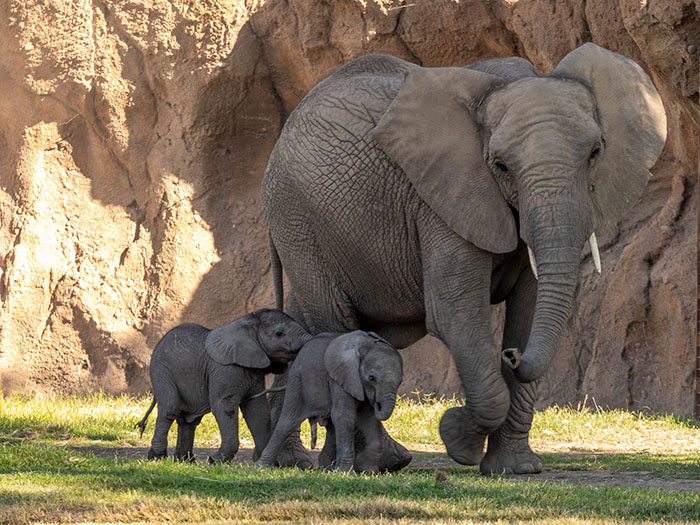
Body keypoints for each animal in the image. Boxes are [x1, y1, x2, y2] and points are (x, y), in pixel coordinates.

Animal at [135, 310, 310, 460]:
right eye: (279, 333)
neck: (245, 323)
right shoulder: (224, 369)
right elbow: (226, 407)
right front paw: (215, 460)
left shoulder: (255, 372)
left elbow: (257, 410)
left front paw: (267, 464)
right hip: (161, 372)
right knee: (169, 410)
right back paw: (157, 457)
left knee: (189, 420)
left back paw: (186, 461)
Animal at [256, 330, 404, 472]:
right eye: (371, 378)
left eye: (400, 382)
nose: (377, 402)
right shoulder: (339, 377)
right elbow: (344, 416)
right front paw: (345, 473)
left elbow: (369, 419)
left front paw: (368, 472)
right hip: (298, 380)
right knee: (287, 422)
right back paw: (261, 468)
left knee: (332, 428)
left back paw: (326, 469)